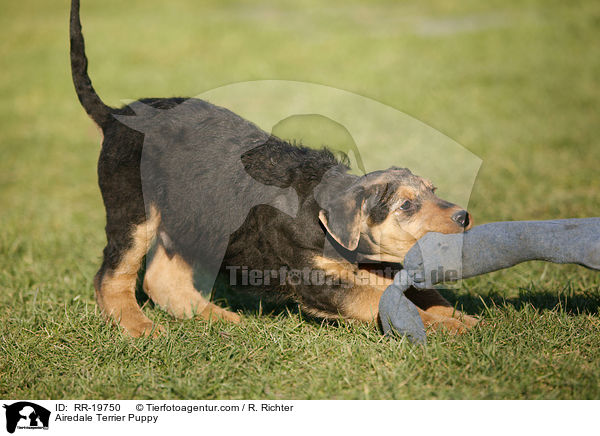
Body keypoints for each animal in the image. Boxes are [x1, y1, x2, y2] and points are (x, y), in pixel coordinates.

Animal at [70, 0, 476, 338]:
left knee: (162, 278)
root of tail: (115, 117)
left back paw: (219, 319)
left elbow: (417, 292)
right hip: (134, 209)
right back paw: (139, 327)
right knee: (113, 274)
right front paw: (447, 327)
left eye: (433, 191)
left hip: (194, 219)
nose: (464, 217)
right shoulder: (314, 278)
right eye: (406, 205)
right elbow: (377, 298)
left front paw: (465, 319)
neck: (324, 213)